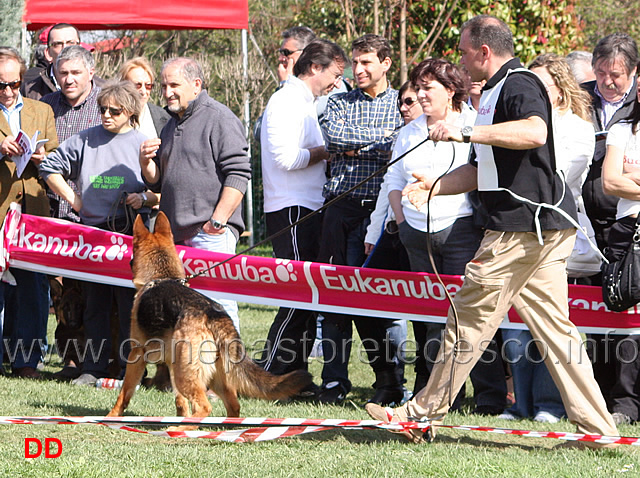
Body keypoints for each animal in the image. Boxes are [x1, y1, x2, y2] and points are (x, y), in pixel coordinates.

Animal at [108, 213, 312, 430]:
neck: (162, 276)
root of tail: (213, 314)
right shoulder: (172, 363)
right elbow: (180, 401)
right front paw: (180, 415)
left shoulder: (137, 355)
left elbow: (125, 392)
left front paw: (112, 416)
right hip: (209, 375)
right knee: (233, 405)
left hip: (188, 375)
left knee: (204, 407)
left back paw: (182, 429)